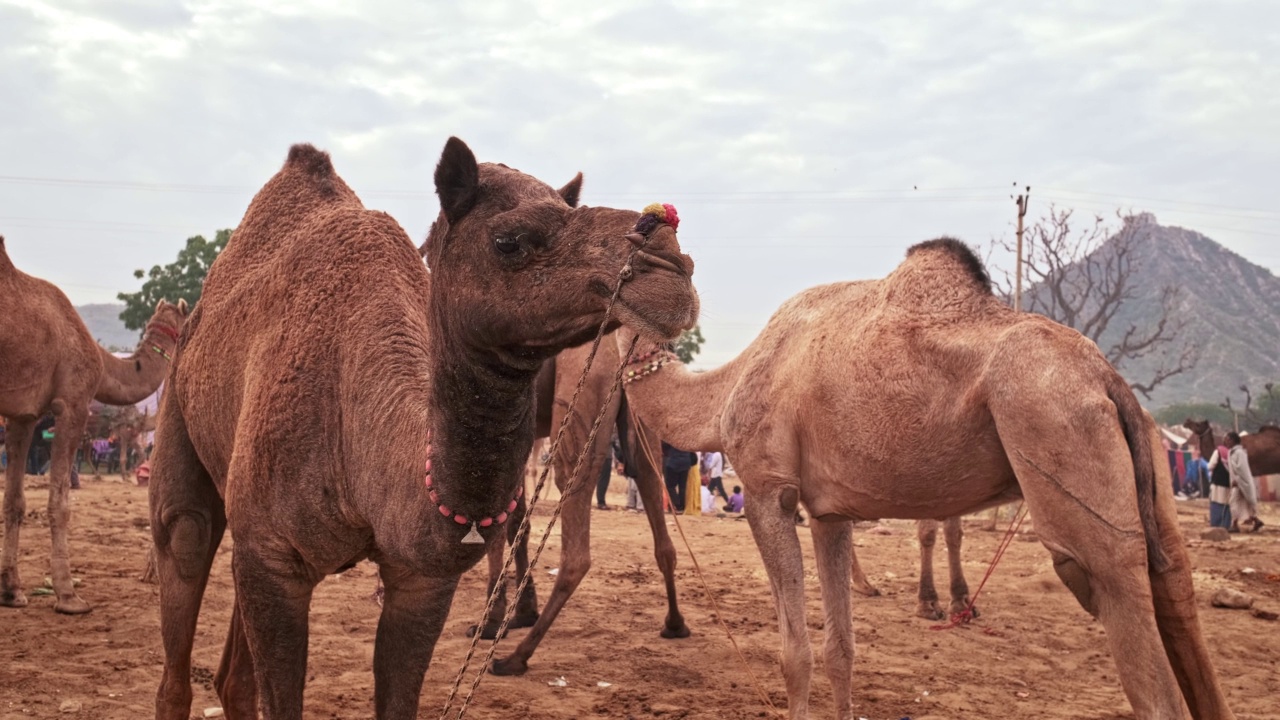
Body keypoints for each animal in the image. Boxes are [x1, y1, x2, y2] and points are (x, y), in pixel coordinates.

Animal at [0, 235, 186, 609]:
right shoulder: (72, 403)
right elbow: (60, 503)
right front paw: (68, 595)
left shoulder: (23, 414)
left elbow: (14, 501)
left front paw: (12, 591)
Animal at [147, 141, 701, 717]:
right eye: (509, 242)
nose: (669, 259)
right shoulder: (274, 561)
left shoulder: (421, 584)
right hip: (182, 427)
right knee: (185, 540)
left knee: (233, 678)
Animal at [619, 237, 1228, 717]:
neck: (724, 391)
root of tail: (1106, 377)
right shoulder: (829, 513)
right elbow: (841, 650)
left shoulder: (770, 489)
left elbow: (796, 654)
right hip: (1142, 457)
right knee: (1175, 583)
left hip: (1055, 422)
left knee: (1114, 597)